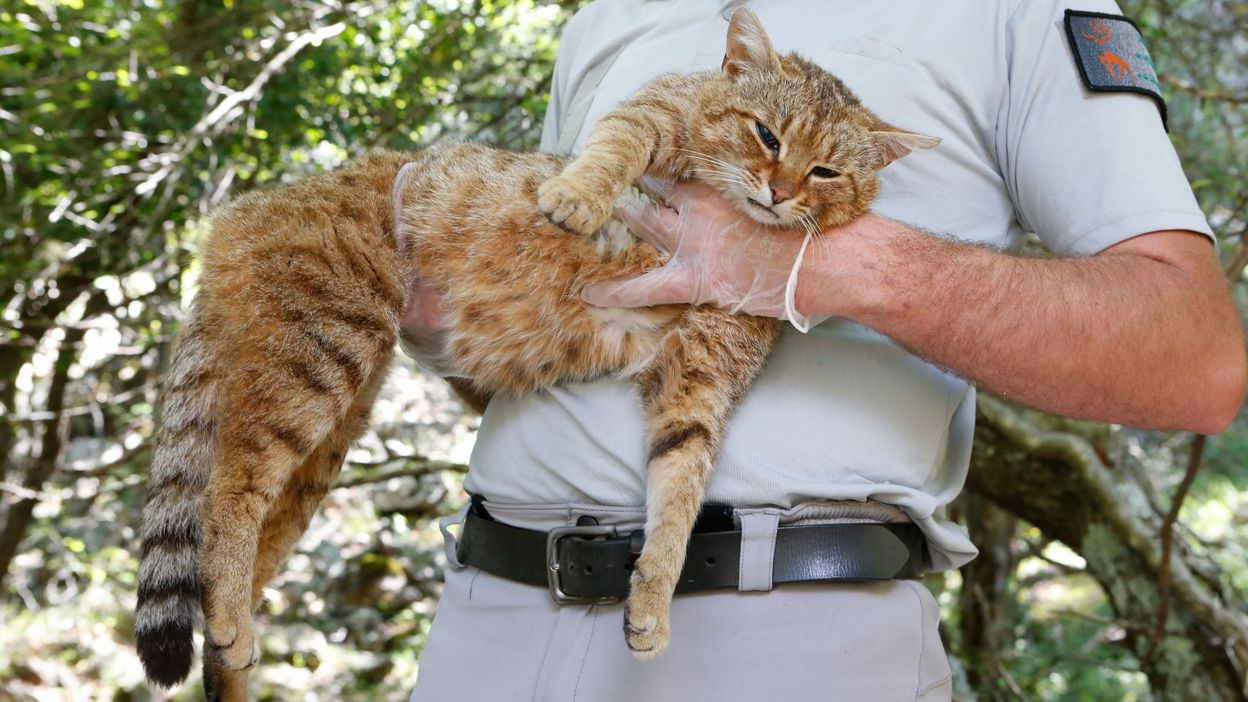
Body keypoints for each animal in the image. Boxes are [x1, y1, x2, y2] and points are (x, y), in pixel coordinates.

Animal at [136, 8, 938, 694]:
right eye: (767, 136)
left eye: (826, 172)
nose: (779, 192)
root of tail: (240, 212)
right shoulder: (656, 111)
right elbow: (614, 145)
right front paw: (576, 196)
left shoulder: (700, 376)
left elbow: (680, 489)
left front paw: (654, 597)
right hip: (320, 352)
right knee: (226, 492)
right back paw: (232, 618)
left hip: (326, 430)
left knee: (237, 537)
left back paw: (234, 645)